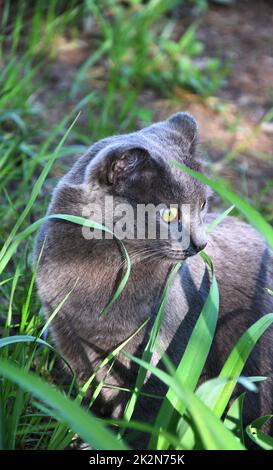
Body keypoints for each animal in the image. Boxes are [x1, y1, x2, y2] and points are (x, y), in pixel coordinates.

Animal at [34, 113, 272, 444]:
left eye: (202, 205)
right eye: (169, 215)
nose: (201, 244)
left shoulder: (163, 353)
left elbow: (147, 415)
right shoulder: (67, 335)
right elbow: (87, 393)